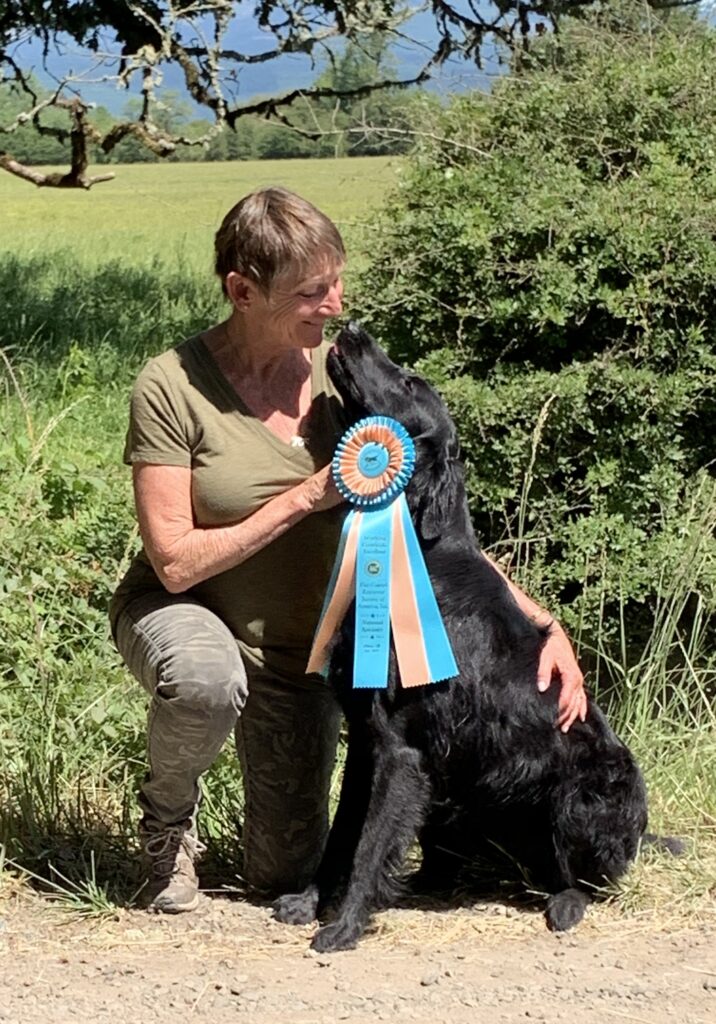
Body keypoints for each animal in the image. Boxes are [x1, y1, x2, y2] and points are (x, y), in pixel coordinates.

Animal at [276, 325, 651, 950]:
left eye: (408, 382)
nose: (353, 329)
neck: (417, 553)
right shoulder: (366, 737)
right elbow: (341, 835)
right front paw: (308, 902)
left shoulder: (401, 748)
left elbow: (368, 845)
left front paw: (346, 924)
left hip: (586, 794)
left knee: (582, 876)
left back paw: (565, 903)